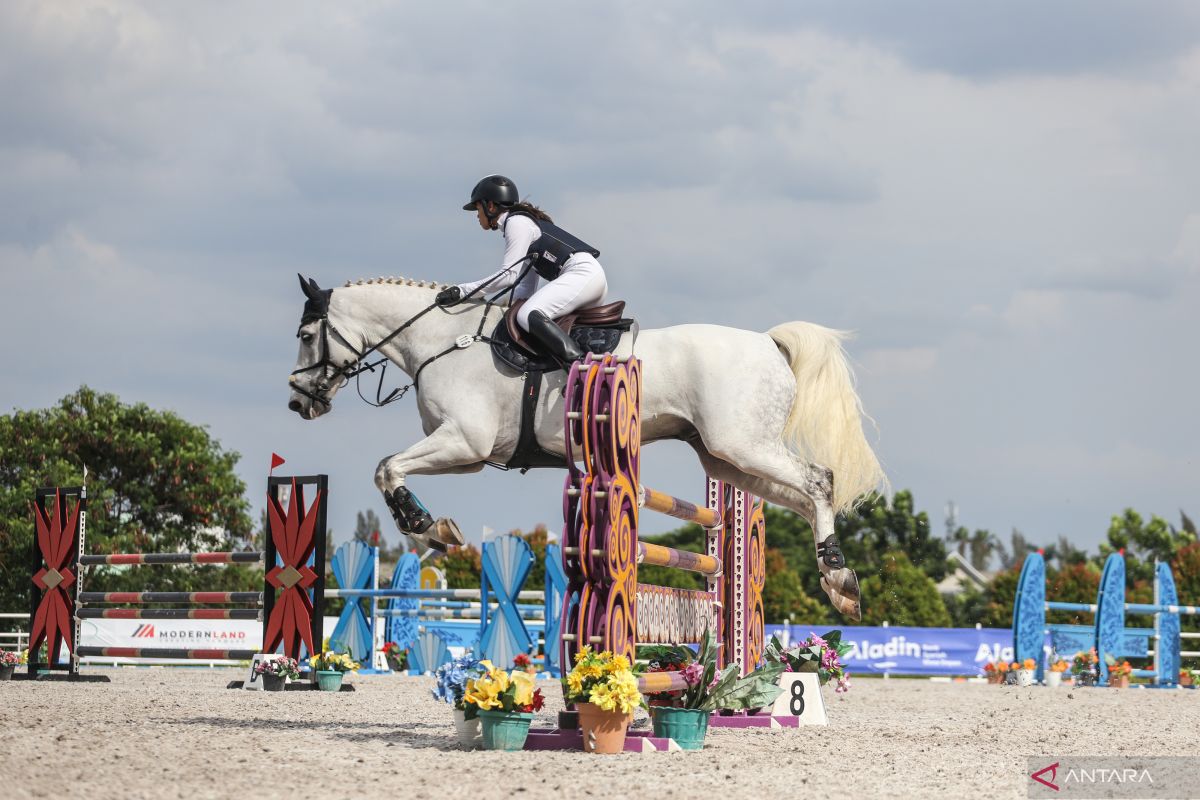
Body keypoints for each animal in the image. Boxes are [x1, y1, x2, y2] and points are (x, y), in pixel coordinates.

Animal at [285, 275, 888, 618]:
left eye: (307, 335)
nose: (297, 403)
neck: (440, 342)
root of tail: (768, 343)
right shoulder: (469, 456)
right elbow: (390, 468)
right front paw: (435, 528)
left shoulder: (461, 441)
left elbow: (387, 468)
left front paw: (424, 525)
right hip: (728, 459)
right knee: (804, 498)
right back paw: (841, 585)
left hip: (742, 445)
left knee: (818, 481)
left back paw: (838, 575)